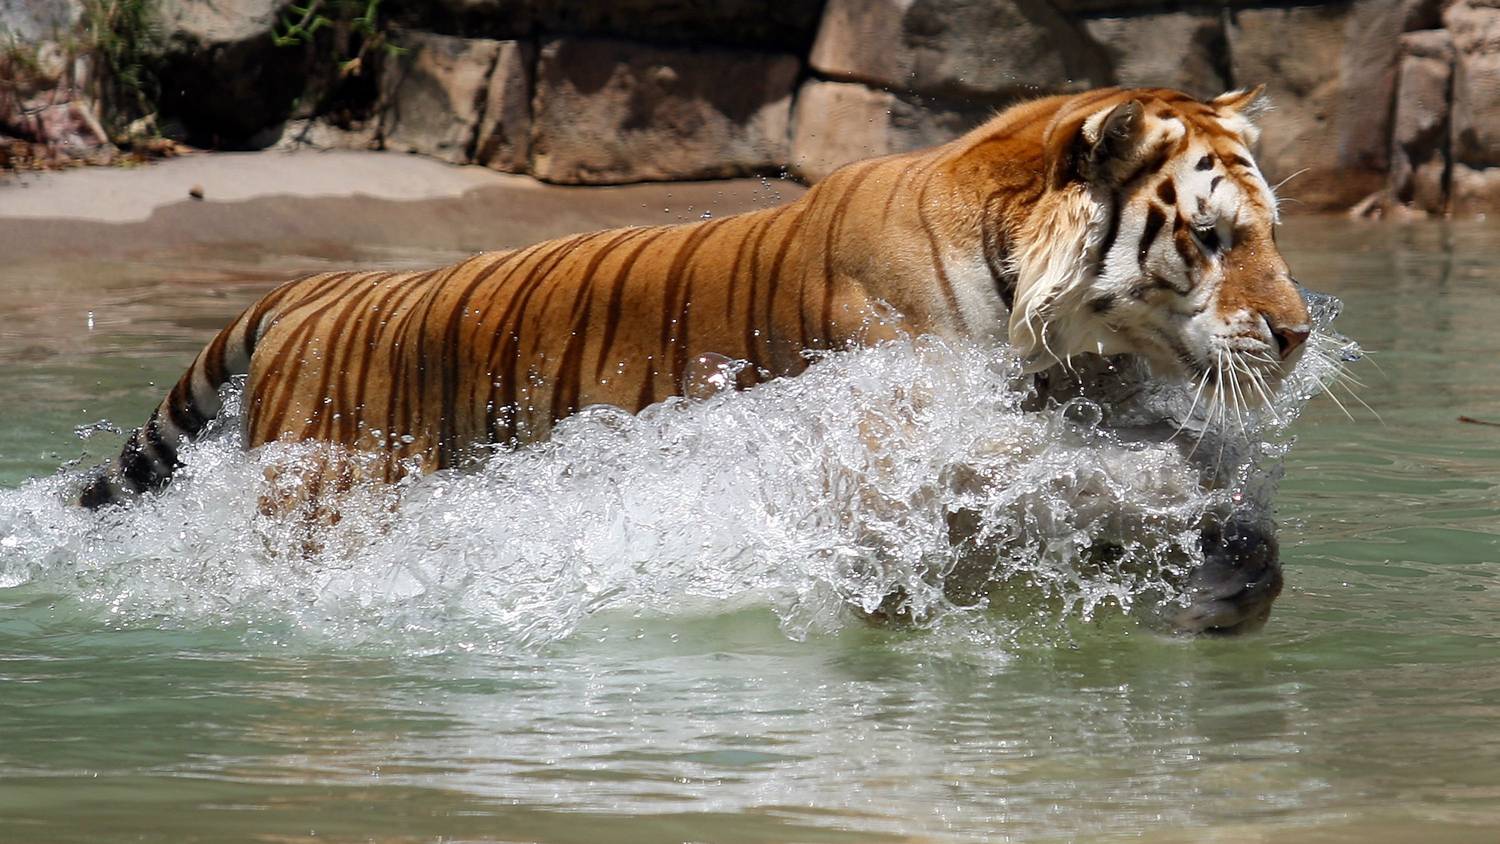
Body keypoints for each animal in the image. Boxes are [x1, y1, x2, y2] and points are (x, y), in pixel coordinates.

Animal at [76, 84, 1308, 626]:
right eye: (1212, 237)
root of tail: (315, 285)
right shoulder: (898, 432)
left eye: (1270, 229)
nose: (1298, 335)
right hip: (326, 506)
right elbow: (1055, 473)